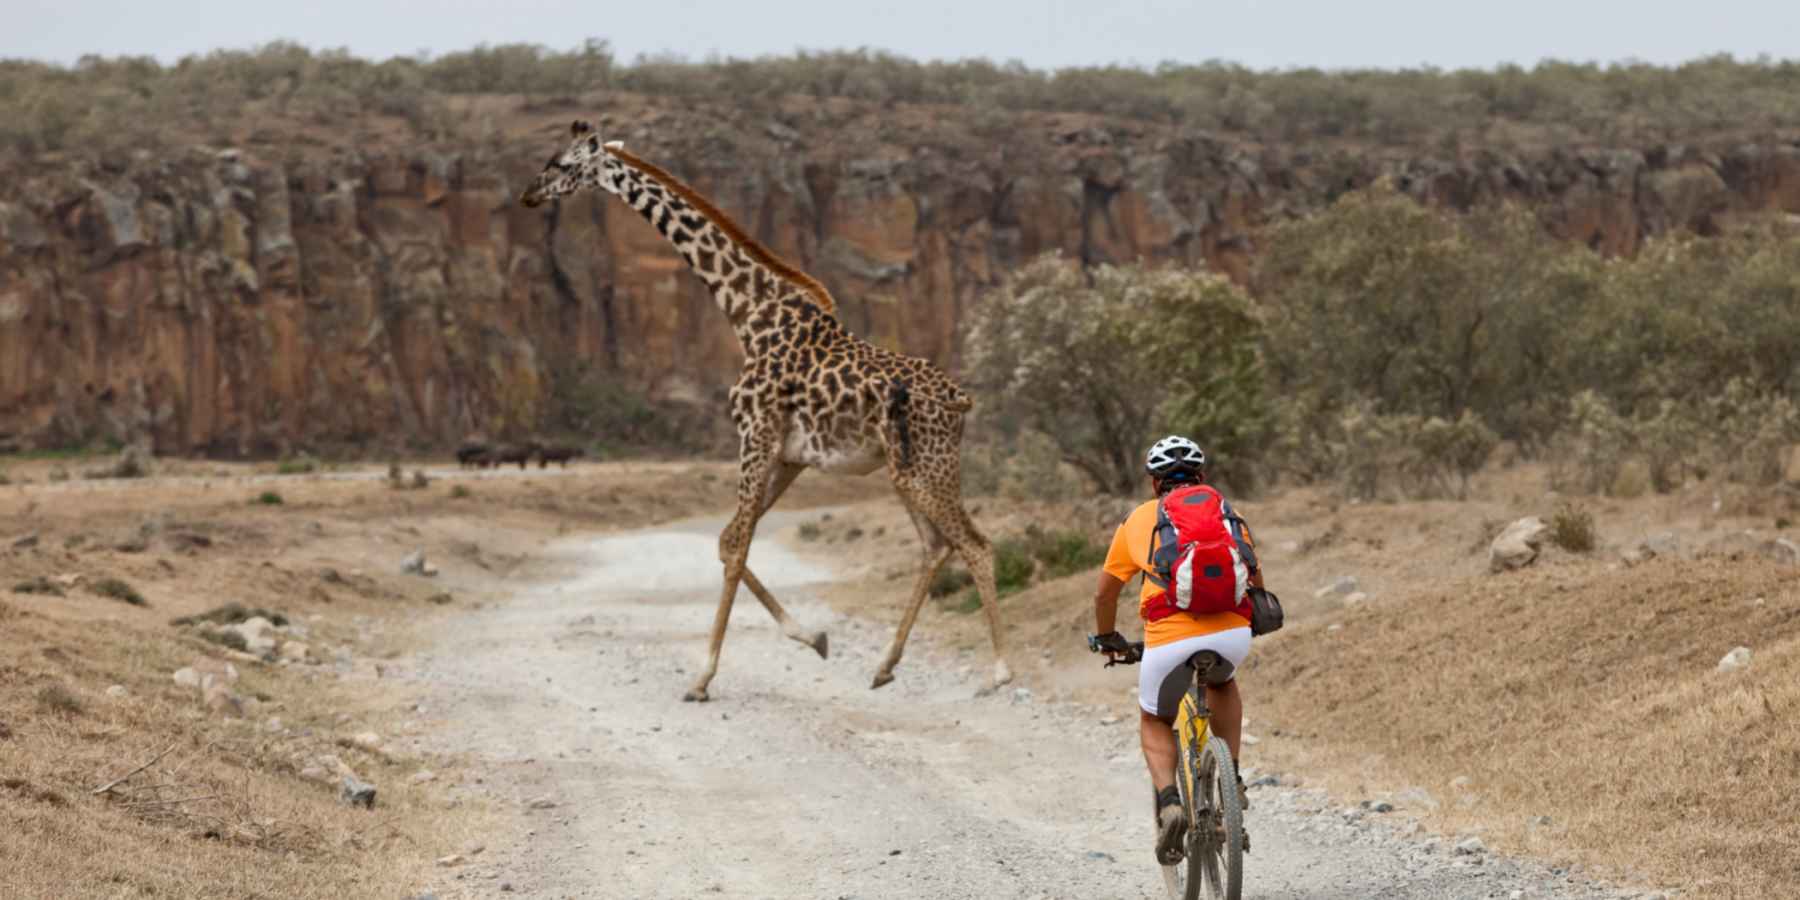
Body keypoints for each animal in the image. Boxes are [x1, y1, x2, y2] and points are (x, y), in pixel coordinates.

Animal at [522, 119, 1015, 698]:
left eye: (561, 163)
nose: (528, 194)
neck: (747, 313)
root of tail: (961, 400)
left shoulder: (754, 437)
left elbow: (736, 547)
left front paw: (703, 676)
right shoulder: (788, 454)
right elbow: (727, 539)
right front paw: (813, 638)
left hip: (928, 468)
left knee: (976, 545)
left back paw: (999, 673)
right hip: (906, 472)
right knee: (935, 546)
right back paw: (884, 666)